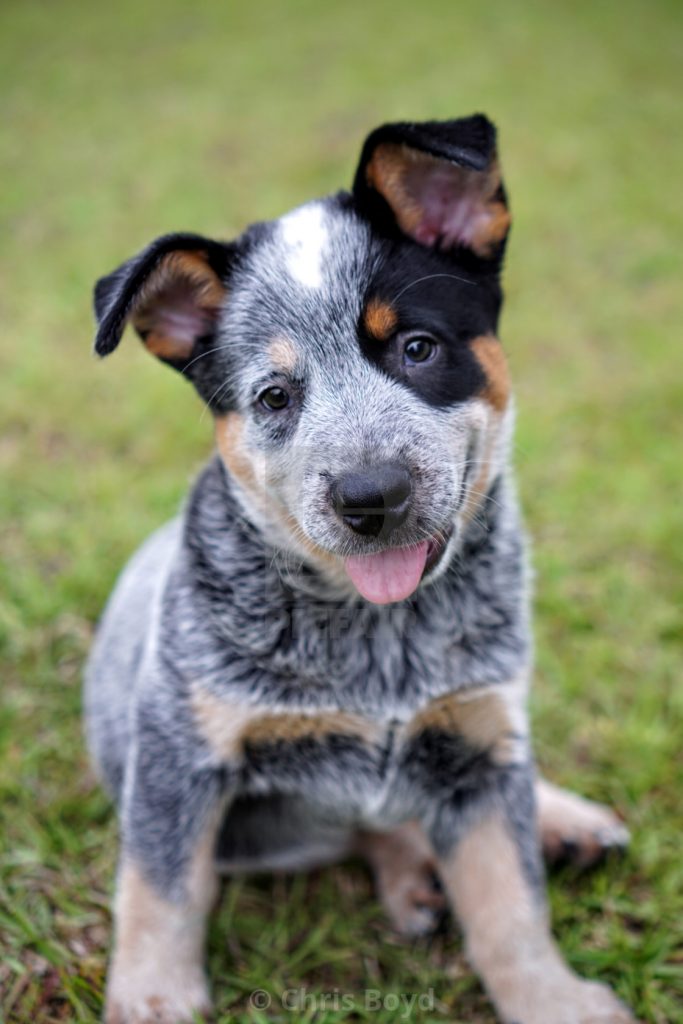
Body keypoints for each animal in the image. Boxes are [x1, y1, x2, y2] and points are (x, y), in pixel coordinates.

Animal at [85, 114, 634, 1024]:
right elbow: (159, 893)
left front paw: (553, 999)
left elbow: (510, 906)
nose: (368, 495)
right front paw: (154, 1001)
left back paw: (563, 821)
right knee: (373, 824)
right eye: (274, 397)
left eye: (416, 347)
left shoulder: (479, 740)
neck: (380, 636)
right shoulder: (178, 750)